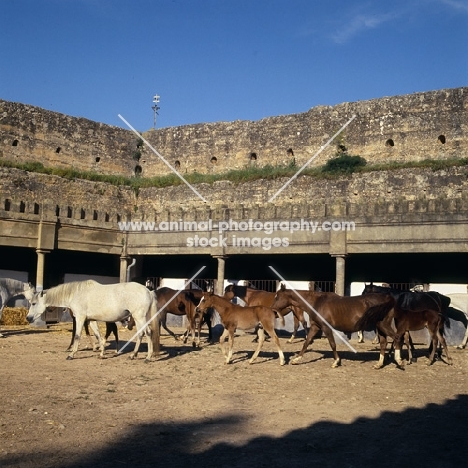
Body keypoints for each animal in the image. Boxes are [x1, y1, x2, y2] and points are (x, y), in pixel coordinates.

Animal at [27, 280, 159, 360]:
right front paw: (101, 352)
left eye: (34, 303)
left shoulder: (80, 318)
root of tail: (148, 291)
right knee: (141, 334)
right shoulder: (91, 320)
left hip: (139, 317)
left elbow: (77, 336)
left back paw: (148, 357)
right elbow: (98, 335)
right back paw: (133, 355)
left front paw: (71, 354)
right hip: (138, 318)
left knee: (148, 332)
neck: (76, 294)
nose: (28, 318)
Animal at [268, 286, 396, 370]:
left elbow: (332, 344)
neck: (316, 302)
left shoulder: (326, 327)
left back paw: (397, 359)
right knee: (384, 343)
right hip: (380, 326)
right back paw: (380, 363)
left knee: (397, 337)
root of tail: (388, 298)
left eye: (277, 297)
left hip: (383, 325)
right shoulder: (316, 326)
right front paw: (296, 360)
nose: (272, 310)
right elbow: (307, 342)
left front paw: (336, 362)